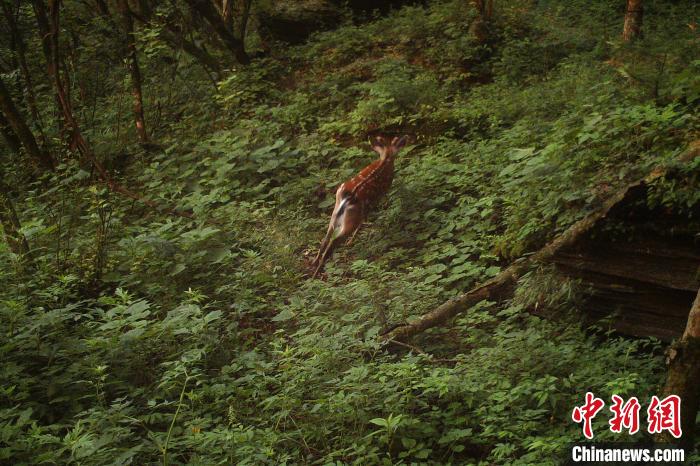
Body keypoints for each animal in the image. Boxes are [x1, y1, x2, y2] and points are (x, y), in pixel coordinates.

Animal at [314, 135, 410, 276]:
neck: (386, 158)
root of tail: (348, 198)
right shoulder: (380, 195)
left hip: (335, 211)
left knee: (326, 238)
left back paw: (314, 263)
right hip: (351, 219)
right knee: (333, 241)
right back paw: (318, 271)